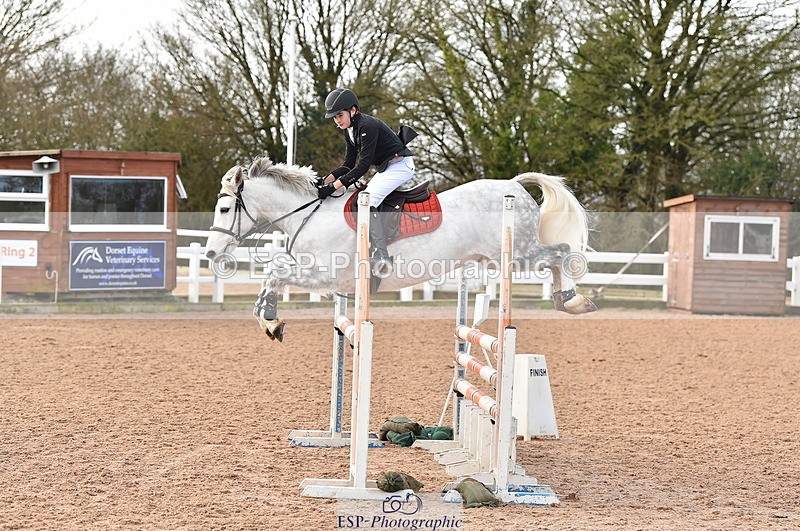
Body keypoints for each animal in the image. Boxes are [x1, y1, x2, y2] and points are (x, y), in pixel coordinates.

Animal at [204, 156, 597, 341]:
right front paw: (268, 318)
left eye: (224, 209)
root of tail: (514, 184)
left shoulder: (326, 275)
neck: (311, 212)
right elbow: (274, 272)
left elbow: (275, 271)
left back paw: (573, 301)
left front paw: (270, 319)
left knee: (561, 252)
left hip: (520, 254)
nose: (210, 254)